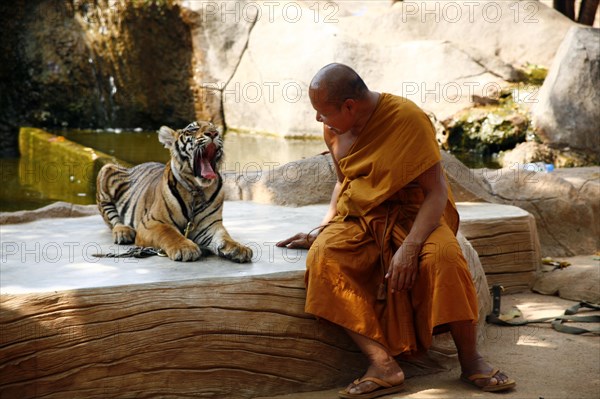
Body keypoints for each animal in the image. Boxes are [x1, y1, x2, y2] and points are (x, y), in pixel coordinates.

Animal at [95, 120, 253, 264]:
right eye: (193, 129)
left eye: (215, 128)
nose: (213, 133)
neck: (197, 190)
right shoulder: (151, 223)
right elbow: (169, 233)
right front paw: (185, 248)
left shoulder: (210, 226)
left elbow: (225, 237)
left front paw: (239, 248)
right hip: (107, 170)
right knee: (112, 217)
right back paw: (123, 232)